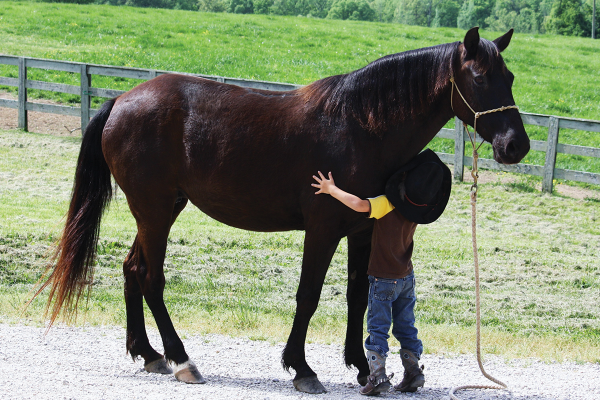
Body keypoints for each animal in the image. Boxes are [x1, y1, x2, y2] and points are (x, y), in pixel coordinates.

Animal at [35, 27, 528, 394]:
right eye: (480, 78)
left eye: (510, 77)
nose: (517, 145)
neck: (360, 126)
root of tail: (121, 100)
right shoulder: (323, 228)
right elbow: (308, 295)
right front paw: (302, 368)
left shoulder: (362, 228)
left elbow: (357, 295)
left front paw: (361, 366)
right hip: (154, 211)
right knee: (150, 276)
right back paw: (181, 359)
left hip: (161, 209)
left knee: (131, 268)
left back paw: (149, 353)